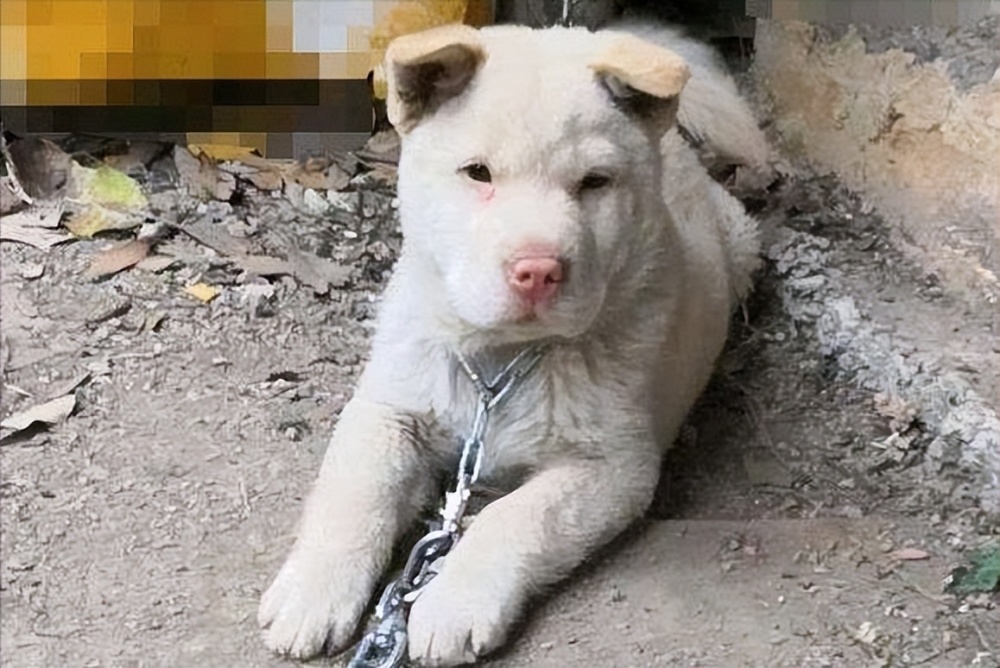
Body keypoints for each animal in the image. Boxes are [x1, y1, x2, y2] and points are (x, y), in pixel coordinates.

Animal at [258, 18, 764, 664]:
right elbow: (356, 489)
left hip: (742, 241)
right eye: (478, 173)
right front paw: (311, 591)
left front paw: (453, 603)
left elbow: (517, 517)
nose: (538, 270)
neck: (496, 364)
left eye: (594, 183)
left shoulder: (615, 465)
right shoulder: (390, 406)